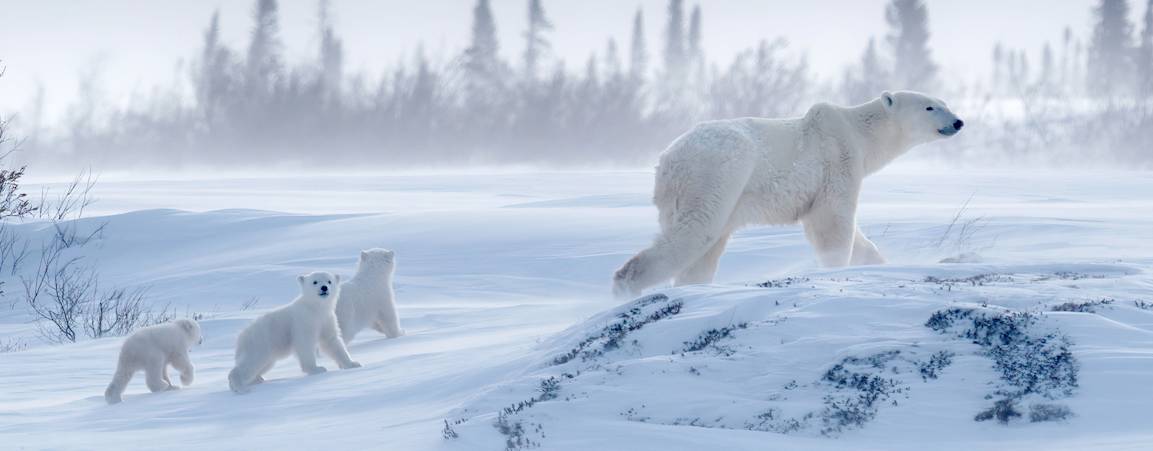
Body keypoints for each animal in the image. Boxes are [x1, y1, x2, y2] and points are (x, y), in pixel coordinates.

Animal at [613, 89, 963, 297]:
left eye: (945, 103)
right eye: (930, 107)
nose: (958, 122)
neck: (859, 132)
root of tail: (667, 160)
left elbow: (860, 240)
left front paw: (878, 263)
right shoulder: (837, 161)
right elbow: (833, 222)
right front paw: (836, 269)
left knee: (705, 249)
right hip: (717, 175)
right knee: (695, 232)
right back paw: (626, 286)